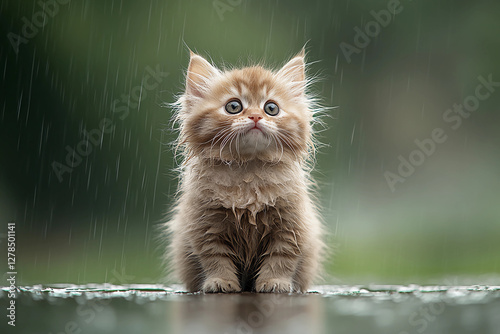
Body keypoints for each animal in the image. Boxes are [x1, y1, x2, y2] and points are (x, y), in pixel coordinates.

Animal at [168, 49, 324, 292]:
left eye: (271, 108)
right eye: (234, 107)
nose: (255, 116)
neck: (249, 172)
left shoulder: (291, 227)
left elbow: (280, 259)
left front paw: (274, 283)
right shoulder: (206, 228)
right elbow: (216, 260)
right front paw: (220, 283)